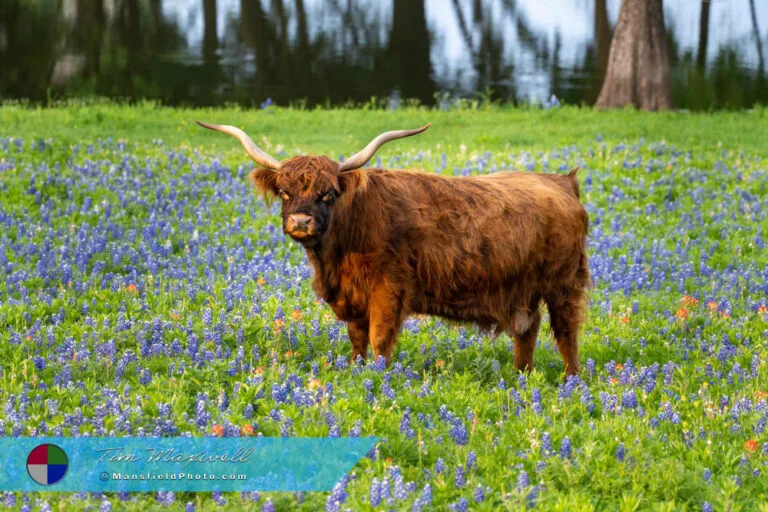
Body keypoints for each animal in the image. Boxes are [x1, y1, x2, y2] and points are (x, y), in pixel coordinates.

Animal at [196, 121, 588, 374]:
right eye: (285, 192)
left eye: (328, 193)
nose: (301, 222)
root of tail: (561, 182)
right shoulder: (352, 298)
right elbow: (357, 340)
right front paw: (356, 371)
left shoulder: (389, 289)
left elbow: (379, 338)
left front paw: (377, 378)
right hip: (525, 291)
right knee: (527, 330)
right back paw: (521, 377)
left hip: (563, 285)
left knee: (566, 333)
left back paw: (571, 380)